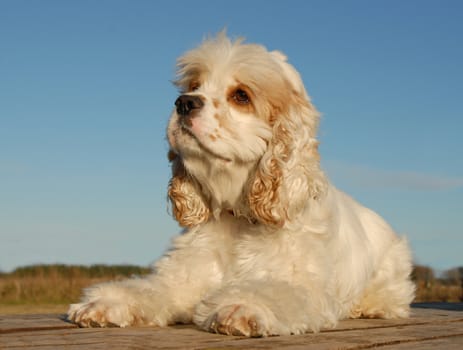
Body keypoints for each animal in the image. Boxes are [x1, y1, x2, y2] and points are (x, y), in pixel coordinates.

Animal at [66, 32, 416, 336]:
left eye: (241, 96)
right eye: (194, 85)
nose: (184, 103)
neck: (236, 216)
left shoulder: (302, 285)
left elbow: (270, 293)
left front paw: (240, 308)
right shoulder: (184, 278)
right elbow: (151, 289)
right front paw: (103, 303)